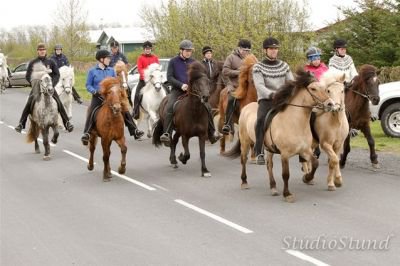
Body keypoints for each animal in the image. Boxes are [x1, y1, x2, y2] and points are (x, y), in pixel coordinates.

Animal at [223, 69, 336, 203]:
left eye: (325, 89)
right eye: (313, 89)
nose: (330, 104)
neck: (295, 123)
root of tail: (247, 107)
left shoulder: (305, 150)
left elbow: (315, 163)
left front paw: (307, 178)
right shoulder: (285, 154)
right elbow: (286, 174)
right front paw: (287, 194)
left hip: (269, 149)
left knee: (269, 165)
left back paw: (273, 187)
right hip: (245, 142)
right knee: (243, 160)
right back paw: (244, 182)